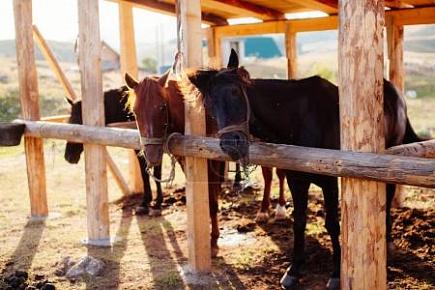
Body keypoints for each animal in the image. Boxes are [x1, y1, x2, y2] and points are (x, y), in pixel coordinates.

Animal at [188, 49, 426, 290]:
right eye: (209, 105)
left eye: (236, 92)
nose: (232, 145)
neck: (299, 118)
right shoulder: (296, 180)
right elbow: (299, 222)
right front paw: (293, 271)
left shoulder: (330, 181)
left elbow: (332, 224)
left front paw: (336, 274)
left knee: (388, 195)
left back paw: (388, 241)